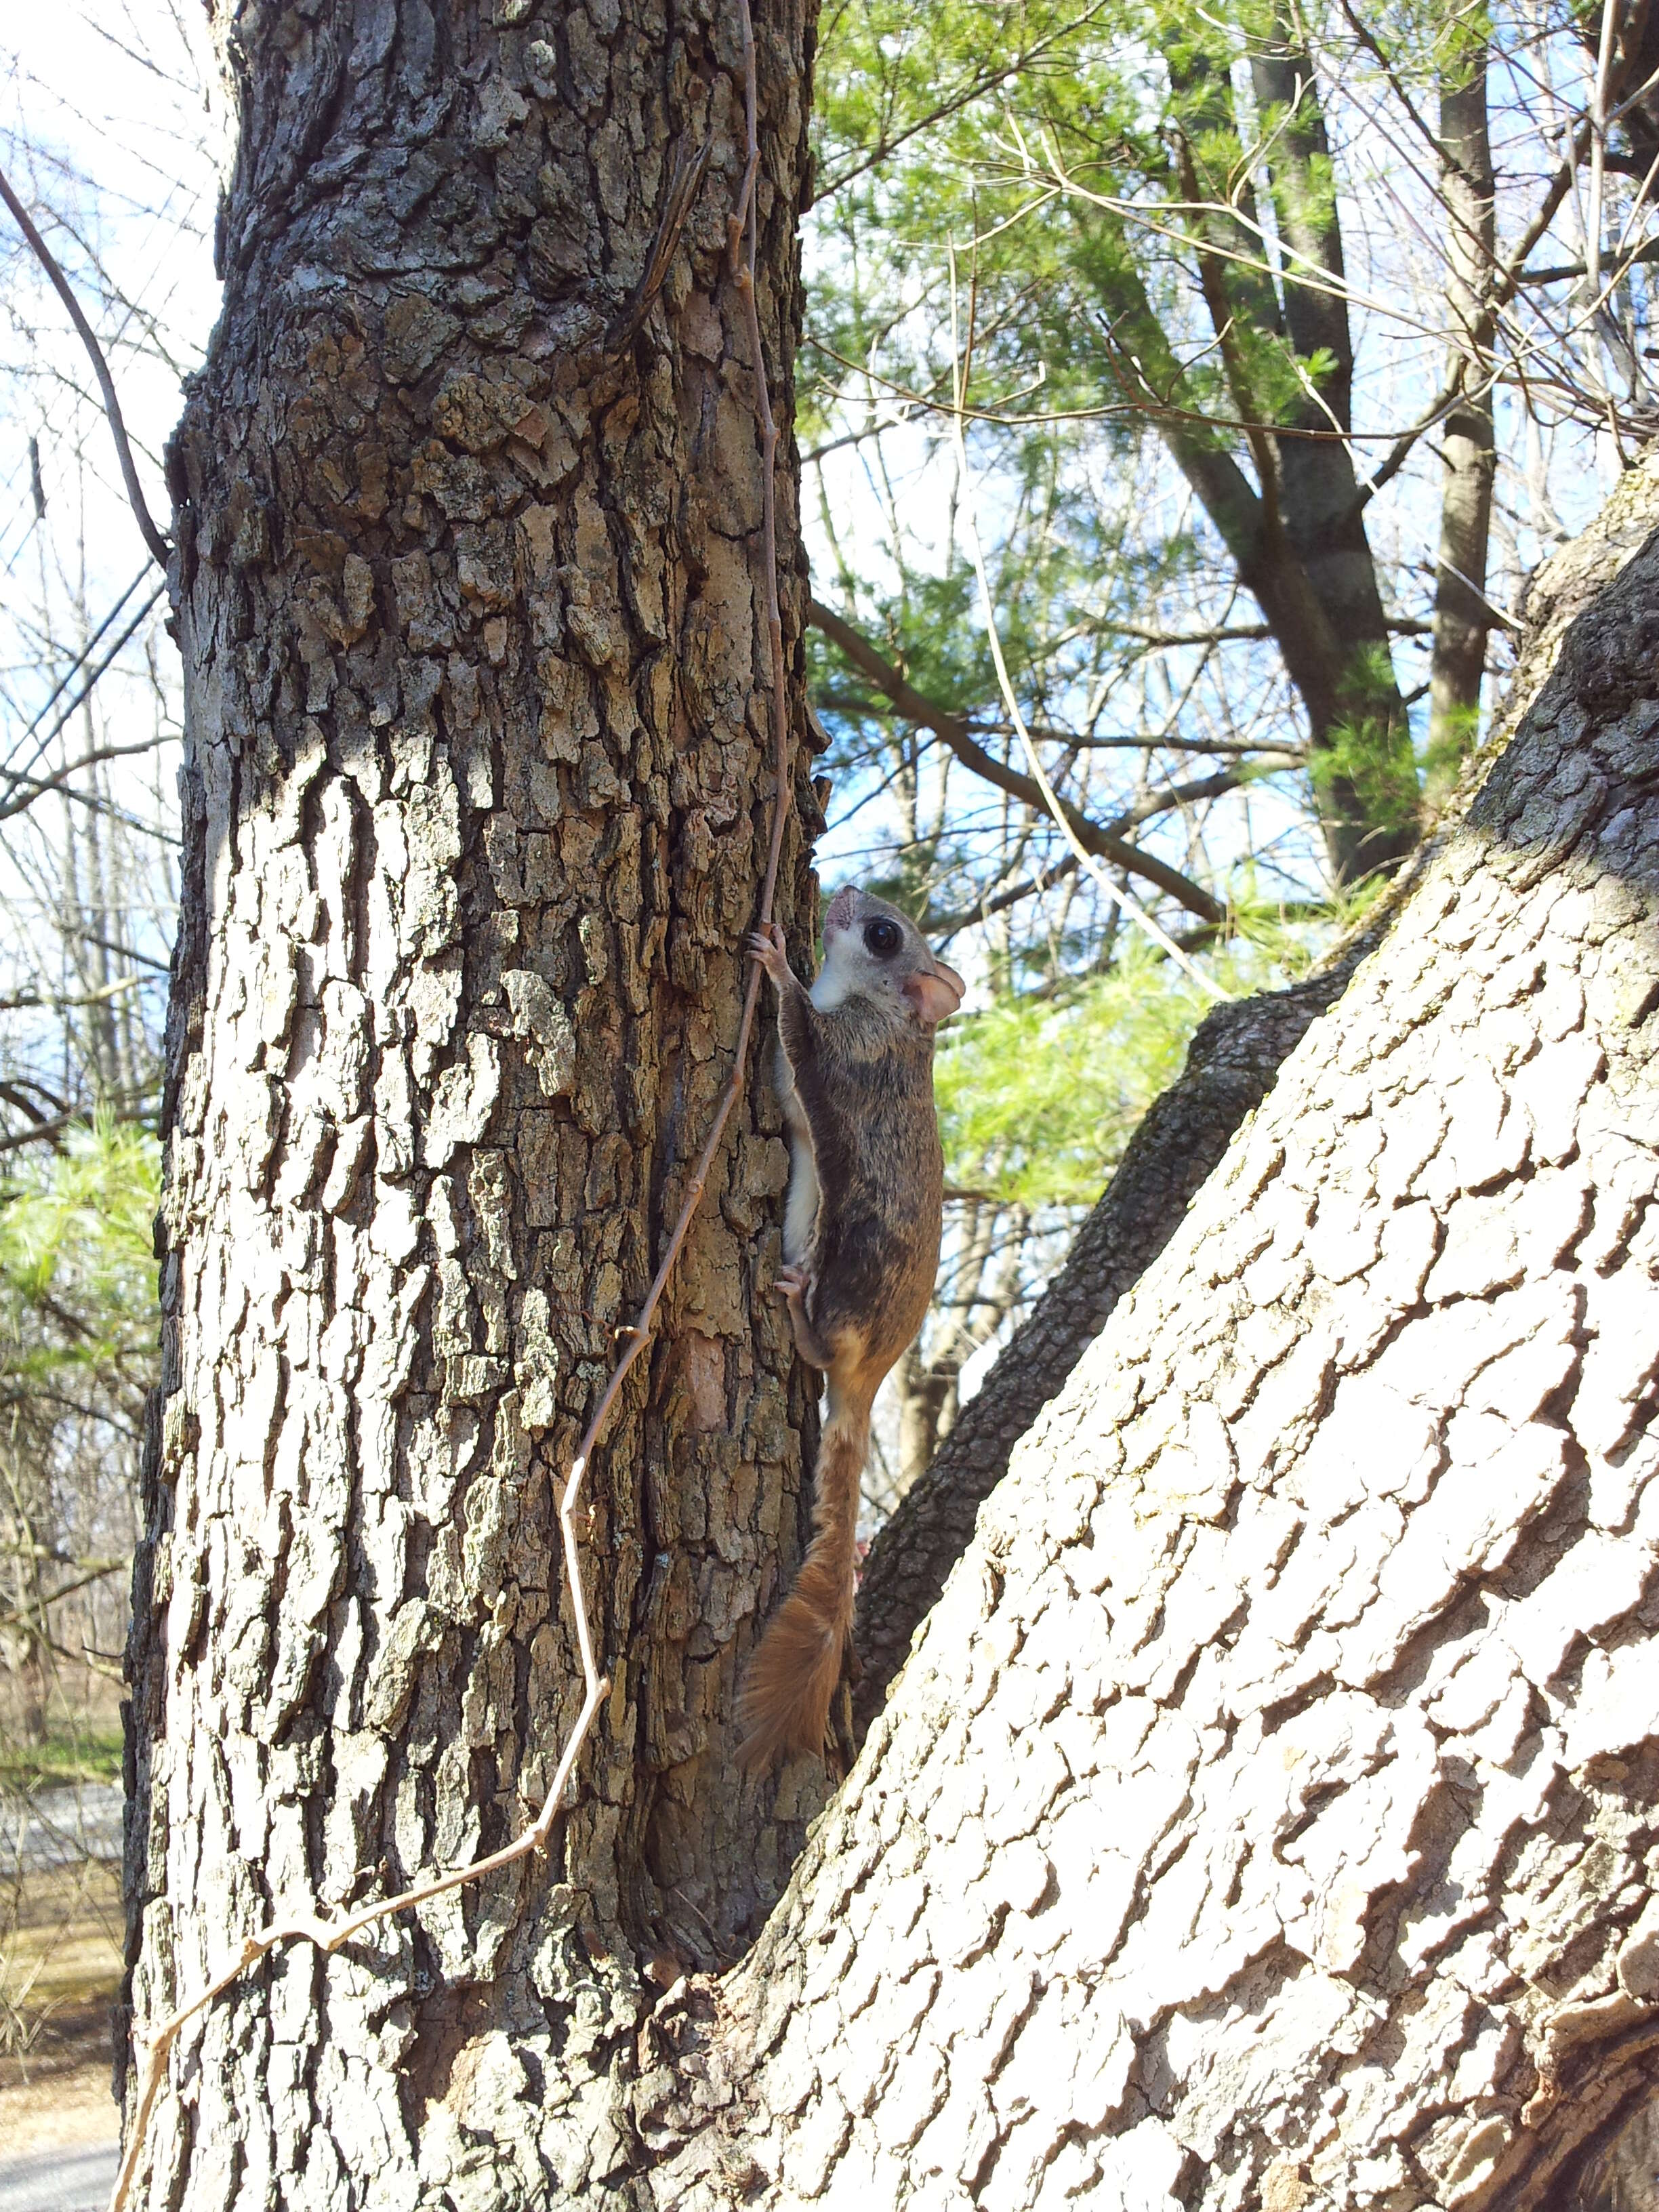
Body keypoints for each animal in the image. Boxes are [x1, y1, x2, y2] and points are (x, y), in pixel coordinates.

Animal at [739, 880, 960, 1761]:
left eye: (883, 934)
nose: (844, 891)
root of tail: (871, 1380)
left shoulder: (846, 1058)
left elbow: (797, 1035)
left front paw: (777, 962)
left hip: (846, 1278)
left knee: (821, 1345)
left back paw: (797, 1311)